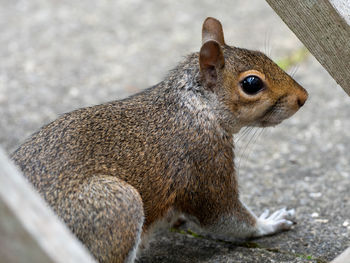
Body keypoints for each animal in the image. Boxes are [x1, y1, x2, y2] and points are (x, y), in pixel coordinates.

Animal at [10, 17, 306, 262]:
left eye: (264, 55)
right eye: (251, 84)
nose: (303, 97)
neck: (196, 104)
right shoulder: (204, 159)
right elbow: (224, 215)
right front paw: (269, 223)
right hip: (118, 207)